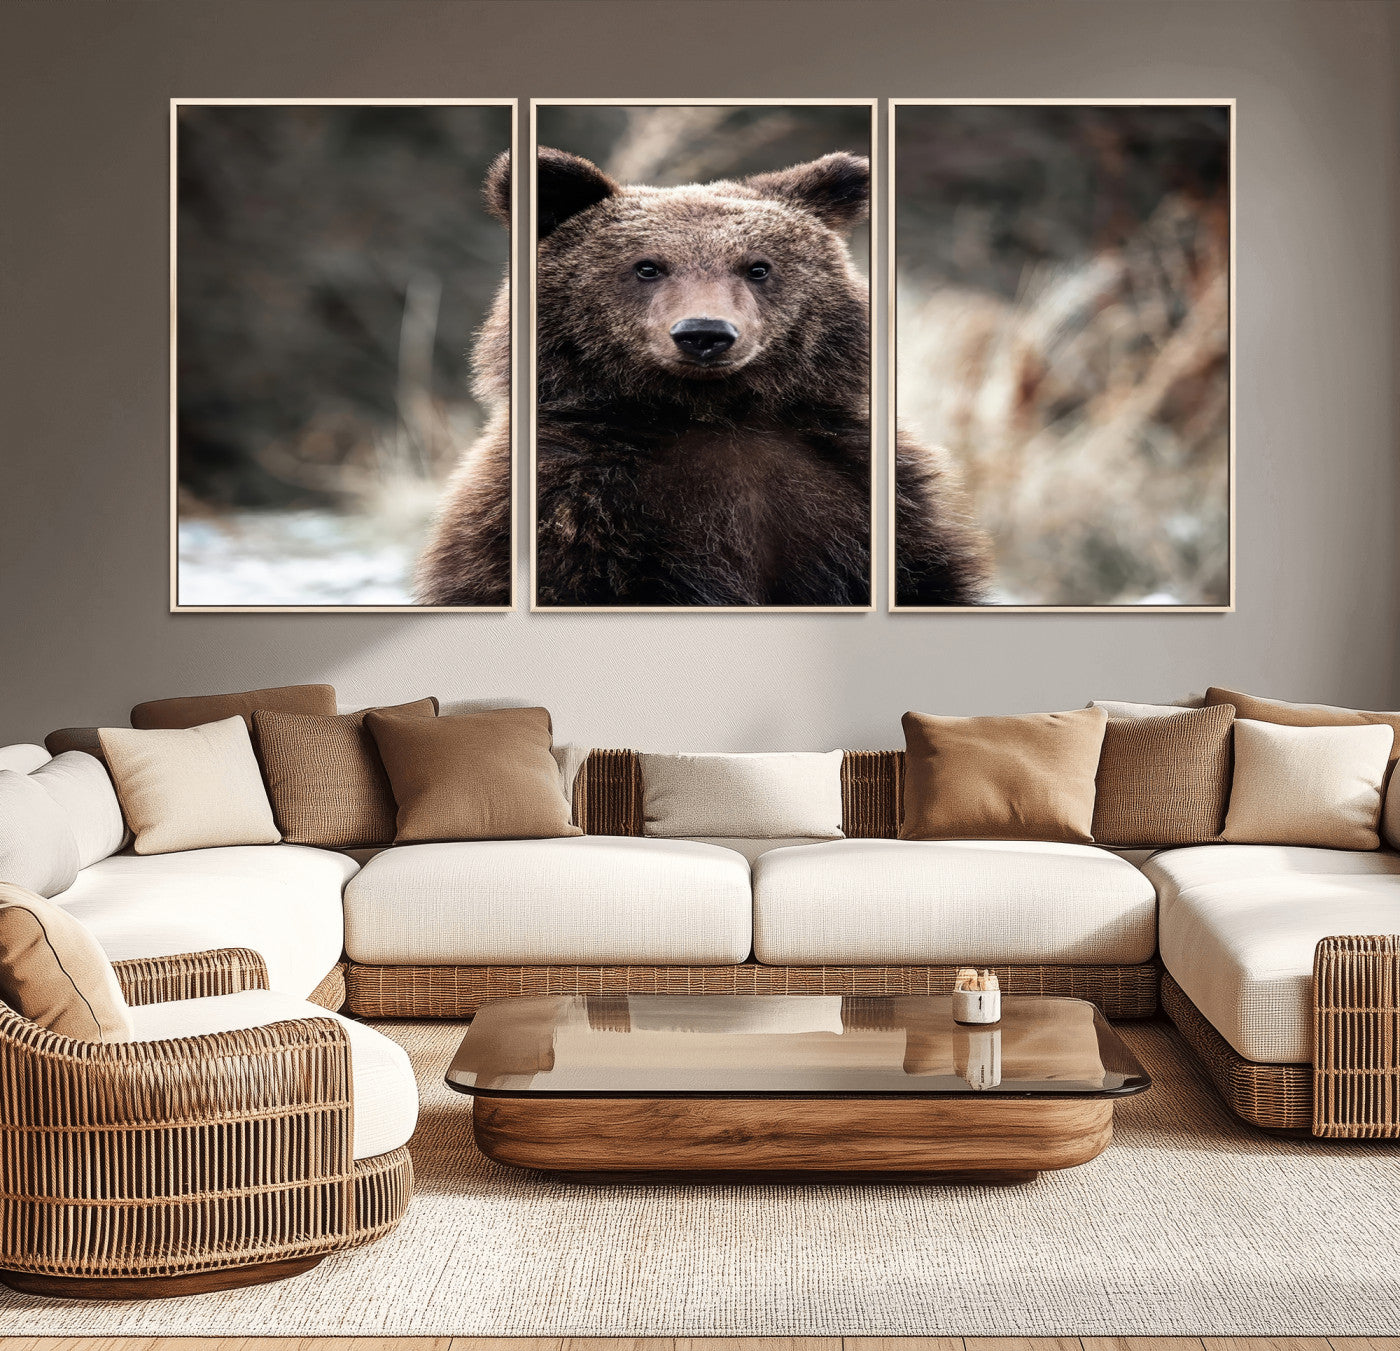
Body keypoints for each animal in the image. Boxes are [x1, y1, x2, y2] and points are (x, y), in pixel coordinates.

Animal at [416, 147, 987, 608]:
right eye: (647, 266)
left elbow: (924, 578)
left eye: (758, 266)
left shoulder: (857, 491)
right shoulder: (572, 506)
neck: (711, 412)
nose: (705, 333)